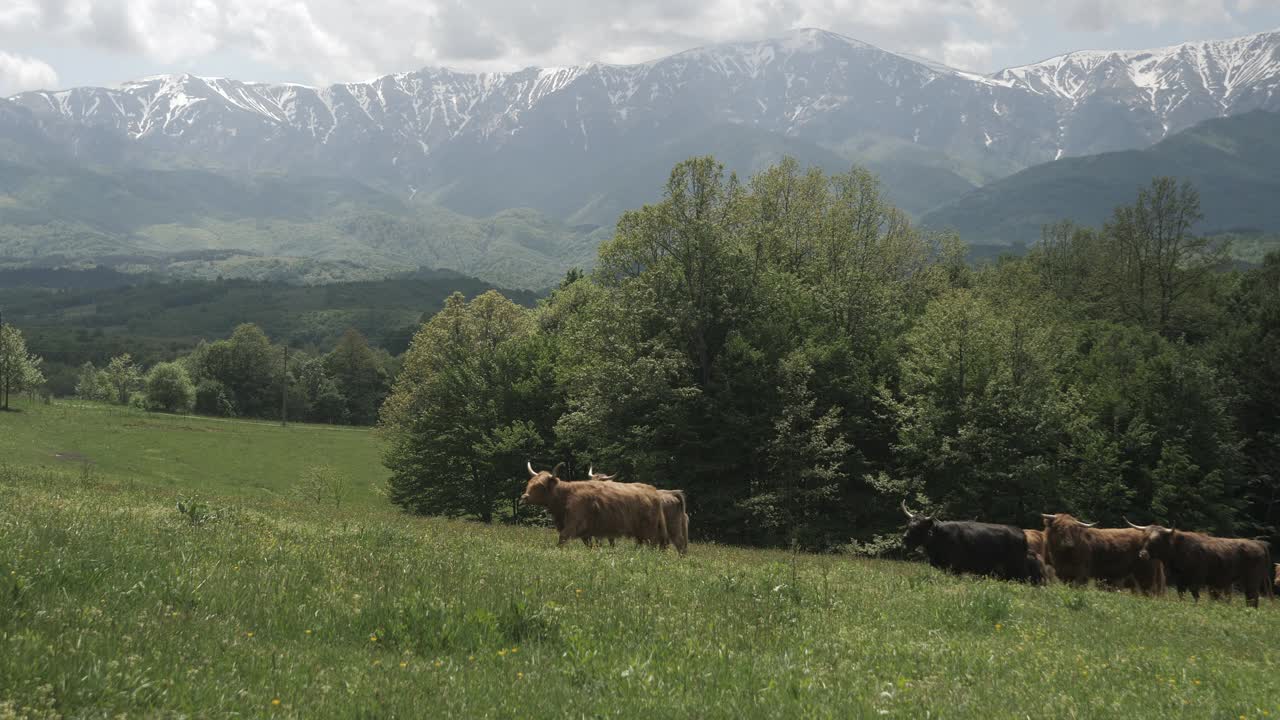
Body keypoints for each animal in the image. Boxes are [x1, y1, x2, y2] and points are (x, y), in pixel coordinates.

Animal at [522, 461, 670, 545]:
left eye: (540, 485)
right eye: (530, 482)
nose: (524, 497)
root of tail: (653, 491)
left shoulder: (573, 524)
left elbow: (562, 539)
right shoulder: (586, 533)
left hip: (649, 530)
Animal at [901, 502, 1039, 579]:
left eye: (919, 527)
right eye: (908, 524)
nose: (905, 538)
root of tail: (1020, 532)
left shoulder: (955, 567)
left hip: (1018, 567)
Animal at [1131, 517, 1269, 607]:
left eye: (1157, 540)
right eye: (1144, 538)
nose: (1143, 554)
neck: (1179, 550)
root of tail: (1258, 544)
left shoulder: (1196, 580)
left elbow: (1195, 595)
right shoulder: (1180, 580)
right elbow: (1181, 595)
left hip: (1252, 580)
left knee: (1252, 598)